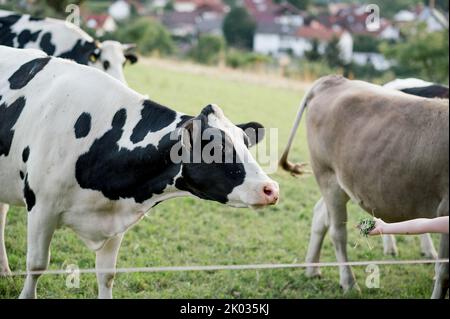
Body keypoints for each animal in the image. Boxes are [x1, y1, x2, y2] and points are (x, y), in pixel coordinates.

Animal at [0, 46, 280, 298]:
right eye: (216, 146)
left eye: (246, 142)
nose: (271, 189)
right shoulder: (41, 207)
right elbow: (36, 265)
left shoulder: (114, 219)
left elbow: (106, 275)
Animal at [280, 75, 448, 300]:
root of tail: (335, 80)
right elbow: (444, 270)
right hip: (328, 176)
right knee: (337, 232)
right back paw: (349, 282)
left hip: (343, 182)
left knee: (320, 215)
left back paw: (312, 269)